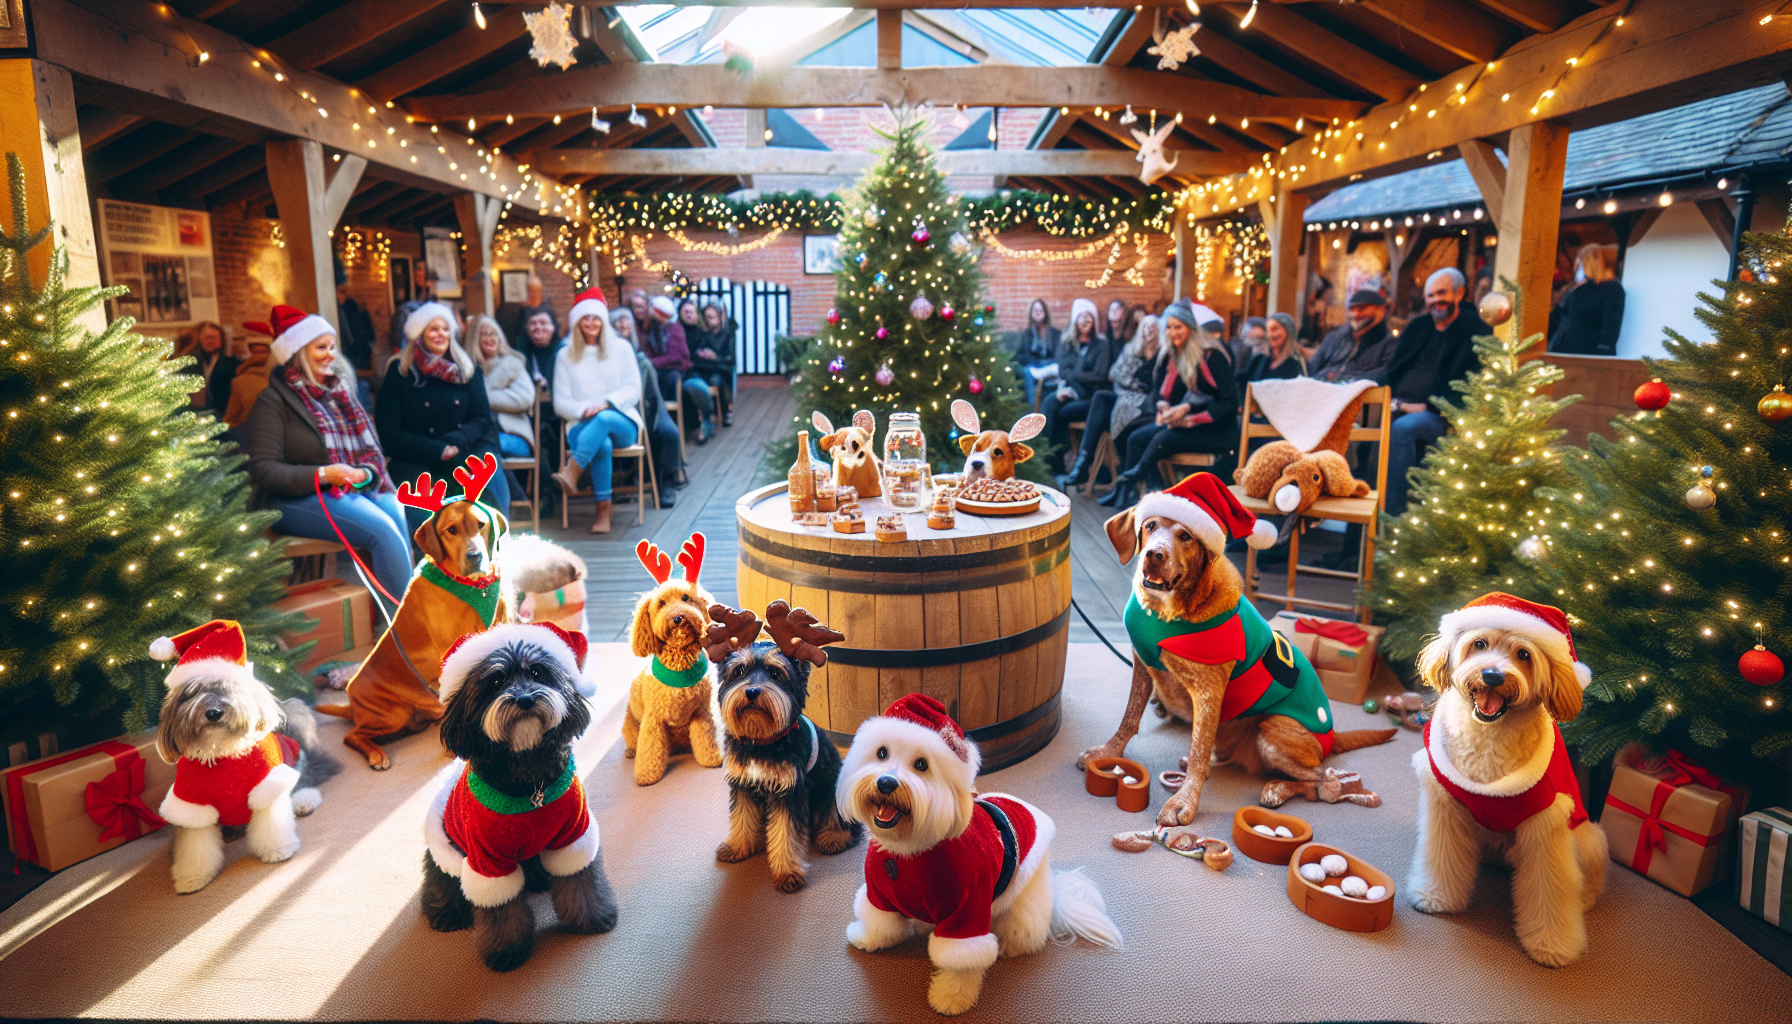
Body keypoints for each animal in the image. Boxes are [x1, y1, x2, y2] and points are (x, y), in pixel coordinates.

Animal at [154, 620, 338, 893]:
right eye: (194, 692)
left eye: (227, 687)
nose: (213, 712)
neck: (221, 754)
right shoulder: (191, 803)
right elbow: (194, 849)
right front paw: (192, 878)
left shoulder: (265, 786)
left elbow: (273, 827)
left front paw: (279, 851)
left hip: (294, 767)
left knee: (305, 785)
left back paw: (303, 802)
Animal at [838, 695, 1118, 1018]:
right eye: (881, 753)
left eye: (921, 764)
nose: (885, 783)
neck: (908, 854)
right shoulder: (878, 893)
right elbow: (879, 922)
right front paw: (869, 938)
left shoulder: (968, 912)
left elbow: (961, 962)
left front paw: (952, 997)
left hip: (1019, 906)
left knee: (1025, 932)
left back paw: (1009, 946)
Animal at [1075, 473, 1397, 824]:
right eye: (1149, 526)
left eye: (1185, 536)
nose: (1154, 554)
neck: (1168, 612)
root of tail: (1333, 738)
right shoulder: (1143, 664)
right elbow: (1129, 718)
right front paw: (1108, 752)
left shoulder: (1208, 692)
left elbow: (1198, 750)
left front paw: (1184, 801)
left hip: (1271, 729)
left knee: (1326, 782)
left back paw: (1281, 789)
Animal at [1412, 591, 1612, 968]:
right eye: (1479, 643)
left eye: (1523, 655)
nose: (1492, 676)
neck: (1488, 742)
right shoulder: (1448, 806)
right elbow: (1442, 857)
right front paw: (1437, 896)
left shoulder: (1546, 827)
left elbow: (1551, 891)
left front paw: (1552, 945)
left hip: (1587, 837)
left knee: (1588, 879)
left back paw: (1584, 898)